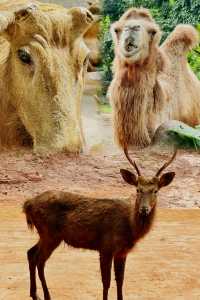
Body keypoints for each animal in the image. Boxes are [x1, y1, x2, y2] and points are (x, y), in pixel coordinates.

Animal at [23, 149, 177, 300]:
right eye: (138, 190)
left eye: (155, 191)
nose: (144, 209)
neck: (130, 228)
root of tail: (28, 203)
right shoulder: (106, 248)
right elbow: (106, 282)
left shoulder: (122, 252)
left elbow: (120, 280)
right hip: (50, 234)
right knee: (39, 261)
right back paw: (46, 296)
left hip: (46, 235)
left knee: (30, 253)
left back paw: (34, 294)